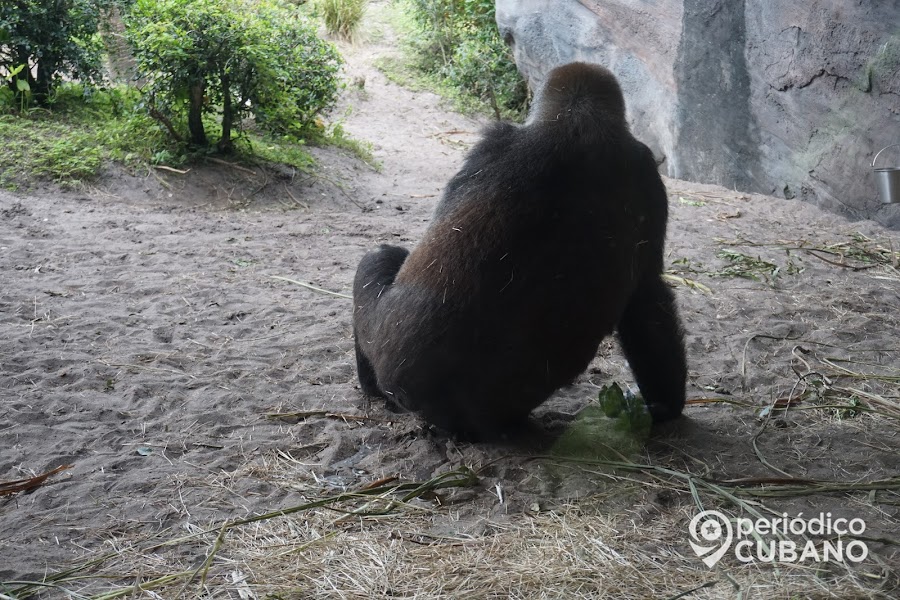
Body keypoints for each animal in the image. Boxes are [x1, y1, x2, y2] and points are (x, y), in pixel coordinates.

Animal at [354, 61, 688, 438]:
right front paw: (666, 407)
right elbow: (647, 297)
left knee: (378, 258)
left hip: (403, 383)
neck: (578, 122)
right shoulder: (648, 173)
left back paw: (372, 389)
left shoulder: (490, 145)